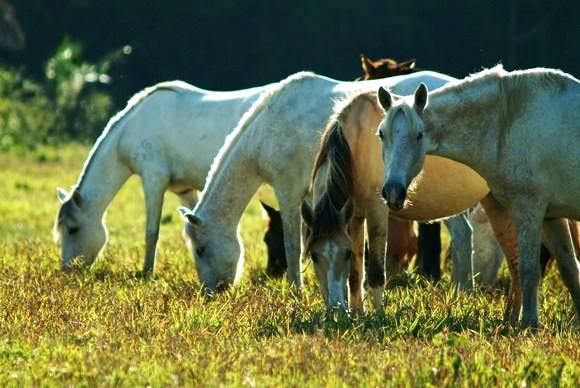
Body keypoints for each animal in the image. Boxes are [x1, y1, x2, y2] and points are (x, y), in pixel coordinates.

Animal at [53, 79, 274, 272]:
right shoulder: (186, 191)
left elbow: (152, 233)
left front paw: (147, 272)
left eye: (73, 229)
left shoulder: (153, 181)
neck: (132, 128)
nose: (67, 270)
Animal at [177, 71, 462, 292]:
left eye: (201, 250)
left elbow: (293, 245)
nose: (212, 291)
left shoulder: (288, 191)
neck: (268, 126)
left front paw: (296, 290)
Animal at [376, 66, 580, 328]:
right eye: (381, 134)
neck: (507, 121)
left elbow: (529, 271)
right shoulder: (551, 217)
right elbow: (569, 269)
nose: (393, 191)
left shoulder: (528, 210)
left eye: (419, 135)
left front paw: (530, 324)